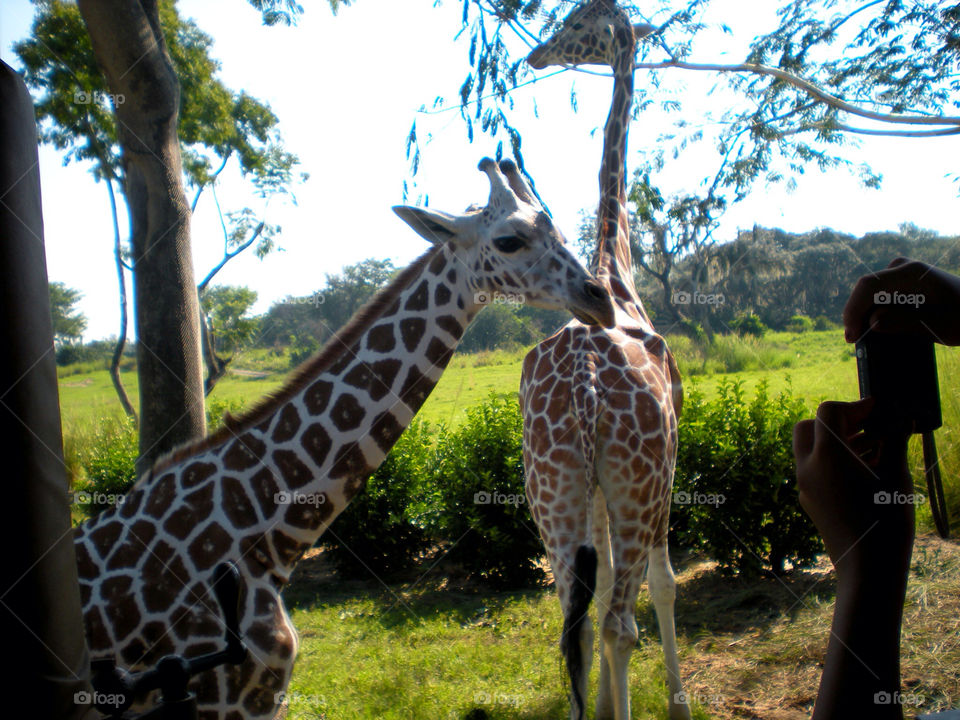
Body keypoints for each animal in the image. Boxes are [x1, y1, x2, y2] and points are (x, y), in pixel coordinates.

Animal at [75, 159, 616, 720]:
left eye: (555, 227)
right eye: (510, 240)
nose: (599, 299)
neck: (264, 535)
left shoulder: (262, 697)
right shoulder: (222, 696)